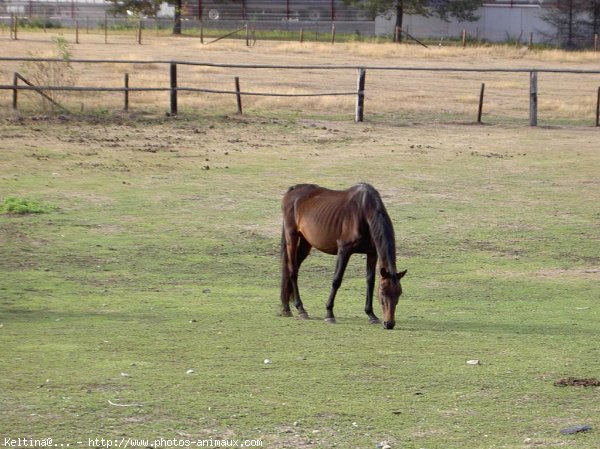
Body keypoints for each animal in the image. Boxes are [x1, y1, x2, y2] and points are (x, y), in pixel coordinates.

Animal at [282, 183, 408, 328]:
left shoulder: (372, 253)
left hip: (305, 242)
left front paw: (371, 315)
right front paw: (329, 314)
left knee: (292, 268)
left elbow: (370, 281)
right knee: (292, 270)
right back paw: (300, 309)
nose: (389, 324)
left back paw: (286, 307)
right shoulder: (344, 250)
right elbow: (336, 280)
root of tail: (293, 190)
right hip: (292, 237)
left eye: (399, 293)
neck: (364, 211)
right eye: (382, 292)